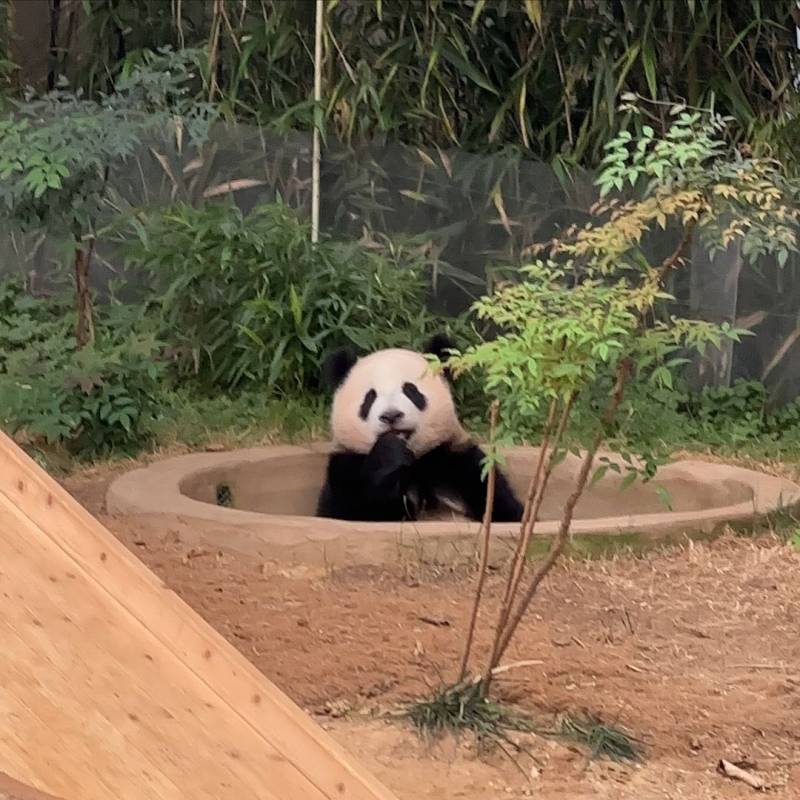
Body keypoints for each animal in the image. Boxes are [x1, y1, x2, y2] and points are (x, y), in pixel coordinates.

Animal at [316, 332, 528, 524]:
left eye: (411, 390)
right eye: (370, 397)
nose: (391, 415)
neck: (416, 462)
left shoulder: (456, 460)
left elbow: (503, 509)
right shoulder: (346, 467)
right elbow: (353, 509)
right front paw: (390, 452)